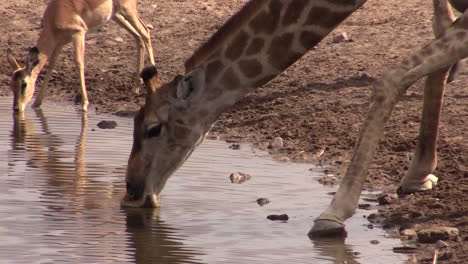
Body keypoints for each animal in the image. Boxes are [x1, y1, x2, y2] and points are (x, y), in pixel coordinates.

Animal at [5, 0, 155, 112]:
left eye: (23, 84)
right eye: (11, 84)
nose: (17, 109)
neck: (56, 15)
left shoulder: (79, 34)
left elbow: (79, 63)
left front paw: (84, 104)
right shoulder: (59, 43)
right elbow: (51, 66)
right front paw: (36, 103)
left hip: (128, 11)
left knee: (145, 32)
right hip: (116, 16)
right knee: (138, 38)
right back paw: (136, 87)